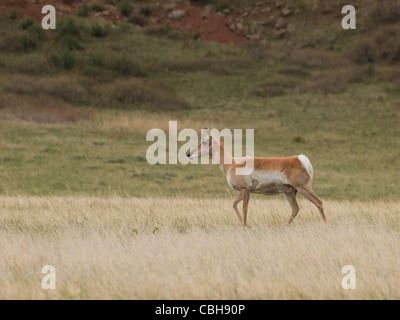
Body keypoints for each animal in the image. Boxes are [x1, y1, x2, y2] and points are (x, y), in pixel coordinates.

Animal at [187, 129, 324, 226]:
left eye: (204, 142)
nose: (188, 154)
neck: (232, 164)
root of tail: (299, 159)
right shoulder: (245, 191)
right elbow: (234, 204)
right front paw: (242, 223)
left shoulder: (245, 189)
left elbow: (244, 208)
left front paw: (245, 225)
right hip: (290, 192)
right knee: (295, 208)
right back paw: (286, 225)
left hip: (303, 188)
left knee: (319, 202)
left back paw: (325, 223)